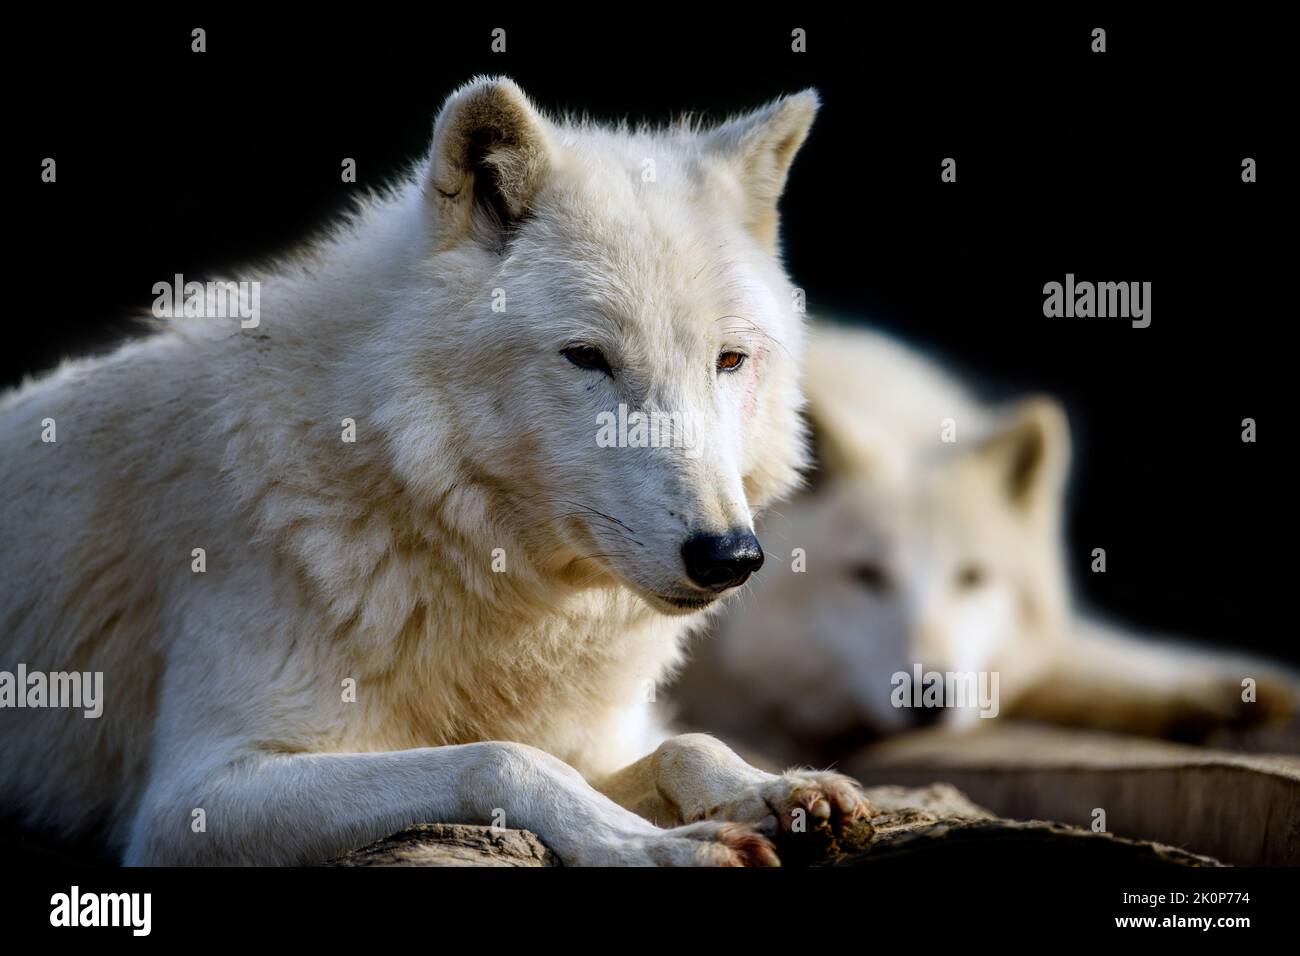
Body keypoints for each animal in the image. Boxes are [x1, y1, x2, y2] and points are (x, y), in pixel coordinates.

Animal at [5, 76, 873, 868]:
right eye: (587, 357)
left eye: (729, 361)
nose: (729, 555)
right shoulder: (192, 798)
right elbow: (505, 758)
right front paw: (653, 846)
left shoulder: (596, 740)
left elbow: (681, 743)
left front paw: (773, 788)